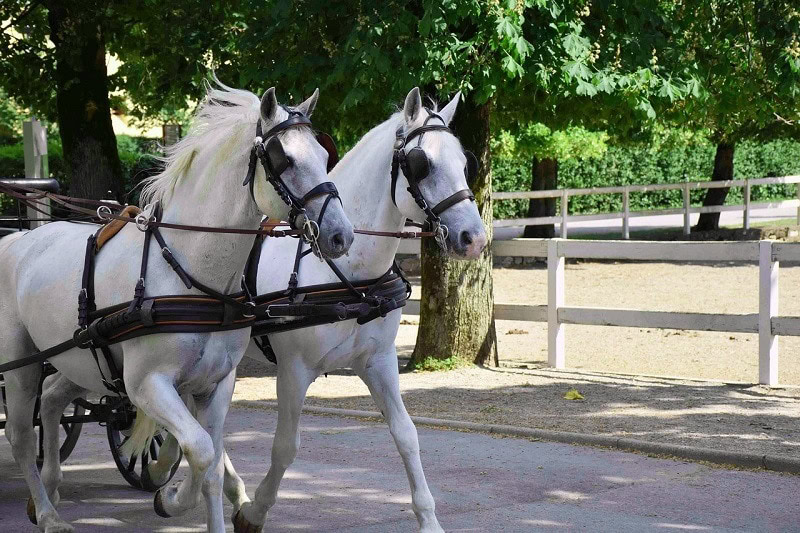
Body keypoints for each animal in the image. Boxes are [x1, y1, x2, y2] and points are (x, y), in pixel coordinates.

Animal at [0, 81, 354, 533]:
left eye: (325, 156)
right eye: (285, 159)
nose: (342, 235)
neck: (190, 273)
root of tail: (16, 239)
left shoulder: (216, 384)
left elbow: (213, 464)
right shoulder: (146, 385)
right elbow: (201, 450)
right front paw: (171, 498)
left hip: (81, 360)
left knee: (51, 399)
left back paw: (48, 490)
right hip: (22, 364)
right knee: (22, 436)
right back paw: (47, 512)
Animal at [225, 87, 487, 532]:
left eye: (463, 162)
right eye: (421, 164)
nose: (475, 239)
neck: (347, 273)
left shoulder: (378, 361)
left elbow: (406, 434)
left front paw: (428, 519)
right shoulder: (294, 370)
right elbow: (285, 447)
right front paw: (255, 510)